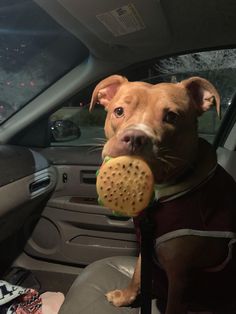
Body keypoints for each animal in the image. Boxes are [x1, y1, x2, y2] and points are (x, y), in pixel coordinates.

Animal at [89, 76, 236, 314]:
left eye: (171, 117)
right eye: (119, 111)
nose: (134, 137)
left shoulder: (179, 275)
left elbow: (172, 305)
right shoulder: (146, 245)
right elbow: (138, 274)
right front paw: (125, 297)